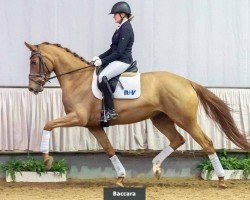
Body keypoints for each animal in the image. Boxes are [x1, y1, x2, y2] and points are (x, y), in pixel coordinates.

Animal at [24, 41, 249, 188]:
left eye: (34, 62)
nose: (33, 88)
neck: (77, 79)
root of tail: (186, 81)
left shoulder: (78, 118)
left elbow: (48, 124)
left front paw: (47, 160)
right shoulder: (93, 125)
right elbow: (109, 149)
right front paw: (121, 177)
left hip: (186, 119)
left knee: (206, 142)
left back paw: (221, 179)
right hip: (160, 119)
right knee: (177, 139)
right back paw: (156, 168)